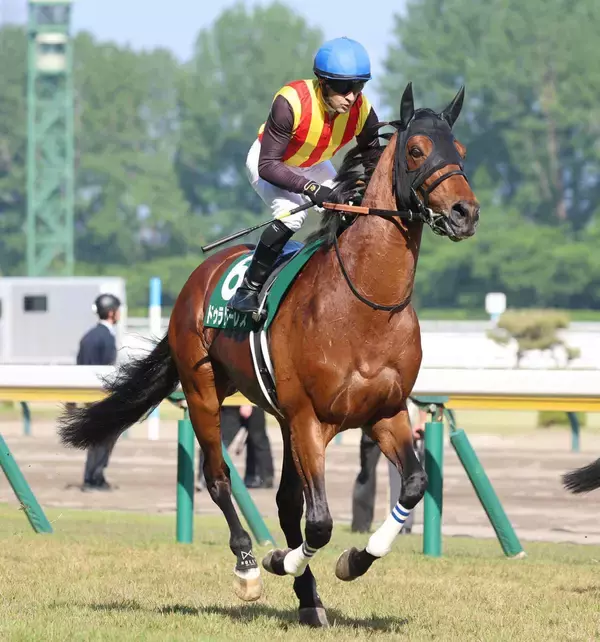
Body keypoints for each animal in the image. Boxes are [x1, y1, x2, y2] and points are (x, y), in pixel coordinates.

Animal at [58, 82, 480, 628]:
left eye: (461, 151)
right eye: (416, 150)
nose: (465, 212)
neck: (365, 302)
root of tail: (197, 279)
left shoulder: (384, 412)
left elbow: (410, 485)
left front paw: (354, 560)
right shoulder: (309, 418)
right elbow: (318, 522)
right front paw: (280, 559)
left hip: (279, 416)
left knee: (283, 501)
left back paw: (309, 598)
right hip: (204, 393)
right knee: (219, 479)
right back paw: (248, 566)